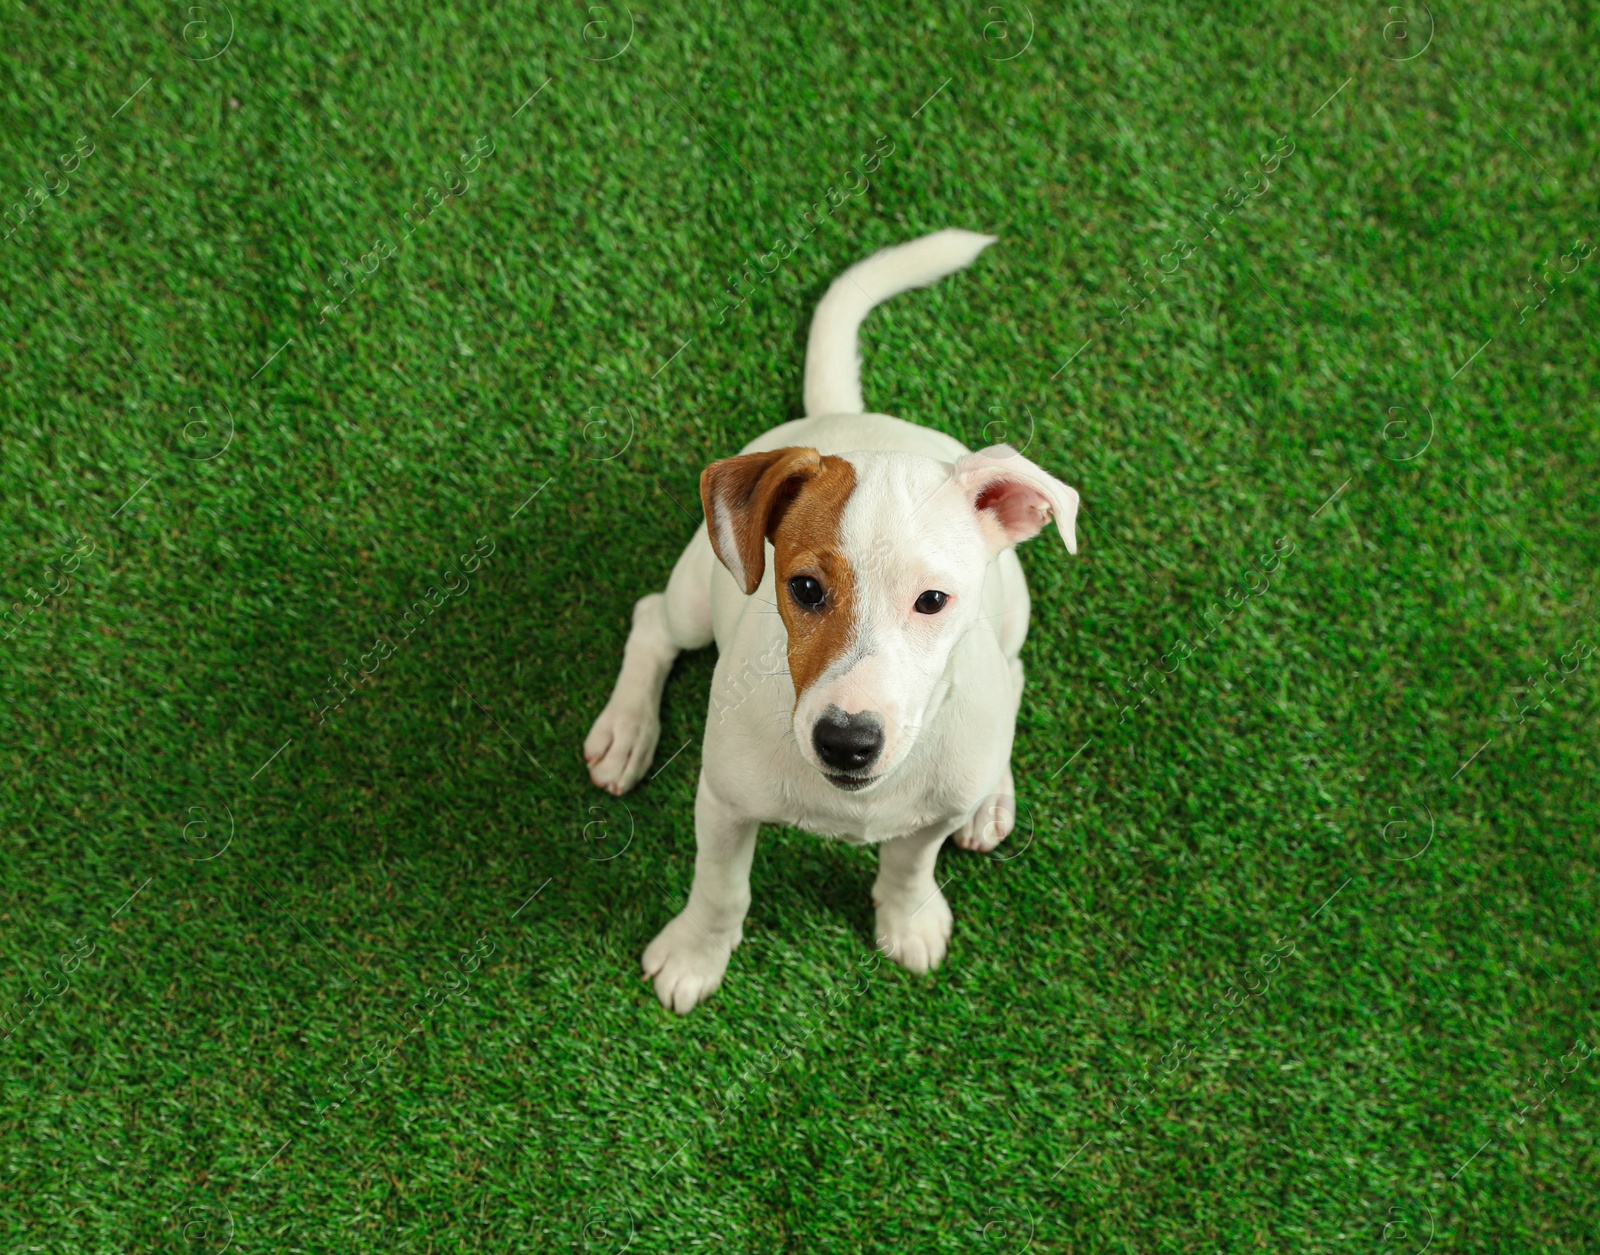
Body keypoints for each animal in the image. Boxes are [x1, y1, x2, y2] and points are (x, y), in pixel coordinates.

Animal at [582, 227, 1081, 1011]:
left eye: (932, 600)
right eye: (806, 588)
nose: (847, 742)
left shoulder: (927, 816)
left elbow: (909, 864)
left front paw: (908, 920)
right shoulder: (723, 802)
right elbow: (720, 889)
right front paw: (695, 954)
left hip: (1013, 617)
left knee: (1015, 671)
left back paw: (991, 797)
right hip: (698, 585)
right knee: (653, 621)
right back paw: (626, 731)